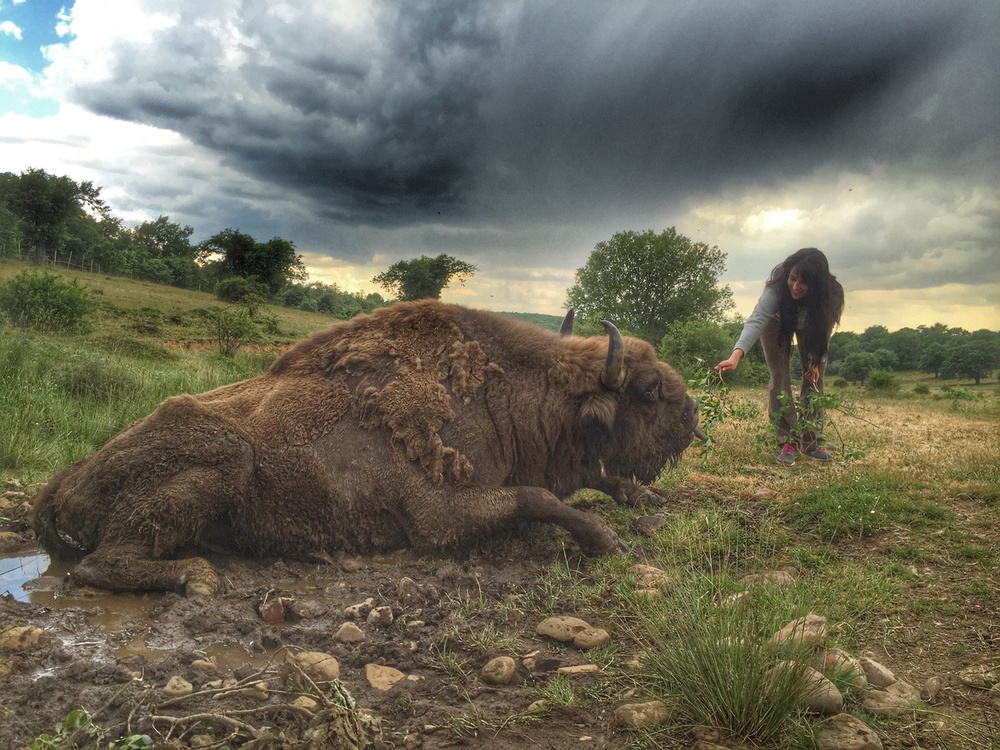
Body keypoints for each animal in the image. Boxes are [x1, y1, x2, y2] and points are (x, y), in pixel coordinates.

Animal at [33, 300, 704, 592]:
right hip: (223, 461)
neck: (506, 396)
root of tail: (69, 477)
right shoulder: (437, 516)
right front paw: (605, 539)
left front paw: (647, 503)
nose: (694, 416)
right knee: (99, 563)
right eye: (648, 389)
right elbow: (538, 498)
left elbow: (591, 480)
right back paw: (197, 576)